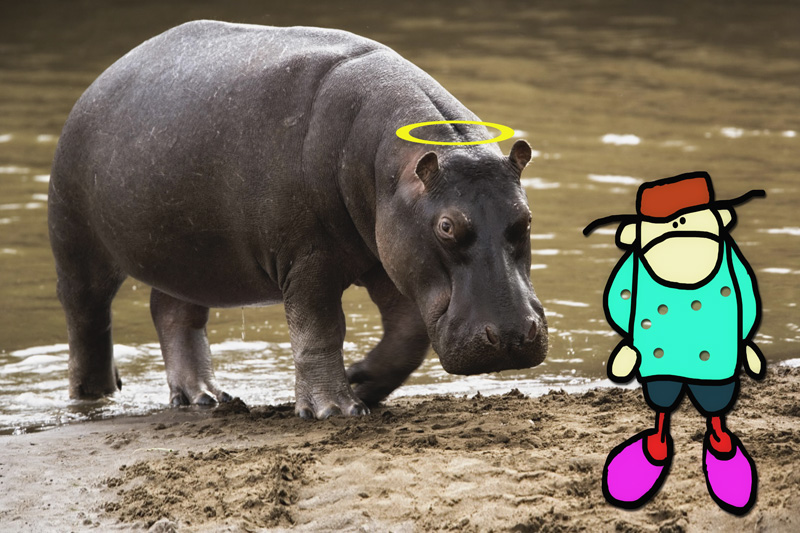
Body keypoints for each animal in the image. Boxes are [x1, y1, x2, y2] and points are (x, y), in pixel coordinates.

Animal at [48, 20, 548, 419]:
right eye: (446, 227)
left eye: (525, 219)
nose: (511, 335)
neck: (391, 167)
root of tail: (101, 79)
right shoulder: (307, 259)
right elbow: (319, 330)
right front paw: (335, 410)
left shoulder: (388, 256)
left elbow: (407, 335)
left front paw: (362, 380)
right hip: (77, 243)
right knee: (87, 322)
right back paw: (93, 398)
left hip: (189, 256)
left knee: (173, 313)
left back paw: (204, 398)